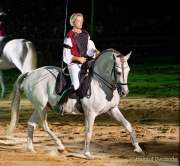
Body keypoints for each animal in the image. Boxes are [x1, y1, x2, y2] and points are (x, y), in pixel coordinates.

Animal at [6, 48, 143, 160]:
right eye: (118, 72)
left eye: (128, 70)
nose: (125, 92)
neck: (100, 83)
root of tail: (30, 73)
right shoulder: (90, 113)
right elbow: (88, 132)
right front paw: (87, 154)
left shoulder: (113, 109)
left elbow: (128, 125)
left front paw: (138, 148)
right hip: (41, 106)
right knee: (44, 125)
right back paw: (60, 147)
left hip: (42, 106)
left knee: (31, 123)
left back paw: (31, 149)